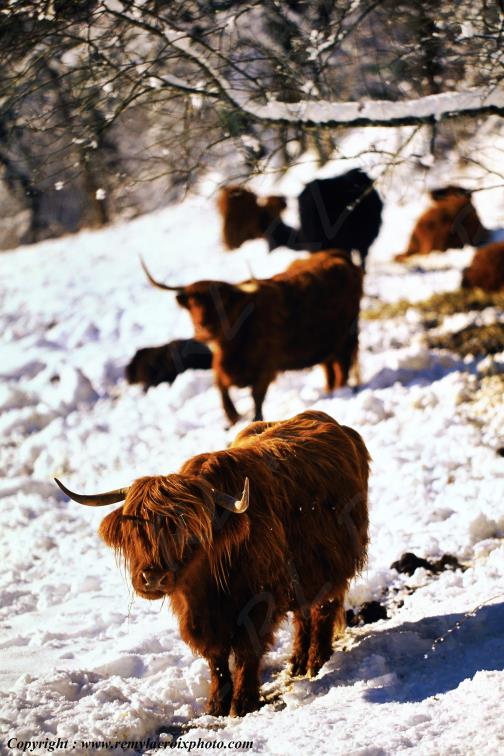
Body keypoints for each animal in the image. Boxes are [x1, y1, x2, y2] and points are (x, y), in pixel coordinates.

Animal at [55, 409, 370, 717]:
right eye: (136, 531)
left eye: (187, 532)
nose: (152, 578)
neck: (207, 587)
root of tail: (337, 426)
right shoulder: (198, 617)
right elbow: (216, 659)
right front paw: (216, 705)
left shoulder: (257, 604)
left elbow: (246, 653)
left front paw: (242, 704)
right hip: (302, 578)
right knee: (303, 615)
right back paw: (297, 662)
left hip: (334, 567)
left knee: (323, 610)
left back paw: (317, 661)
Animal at [141, 251, 363, 425]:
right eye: (192, 304)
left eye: (222, 302)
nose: (204, 328)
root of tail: (338, 255)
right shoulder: (221, 367)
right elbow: (221, 388)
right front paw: (232, 417)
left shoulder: (266, 368)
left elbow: (257, 398)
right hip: (326, 345)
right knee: (330, 367)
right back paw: (329, 390)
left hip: (346, 336)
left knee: (343, 366)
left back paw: (340, 392)